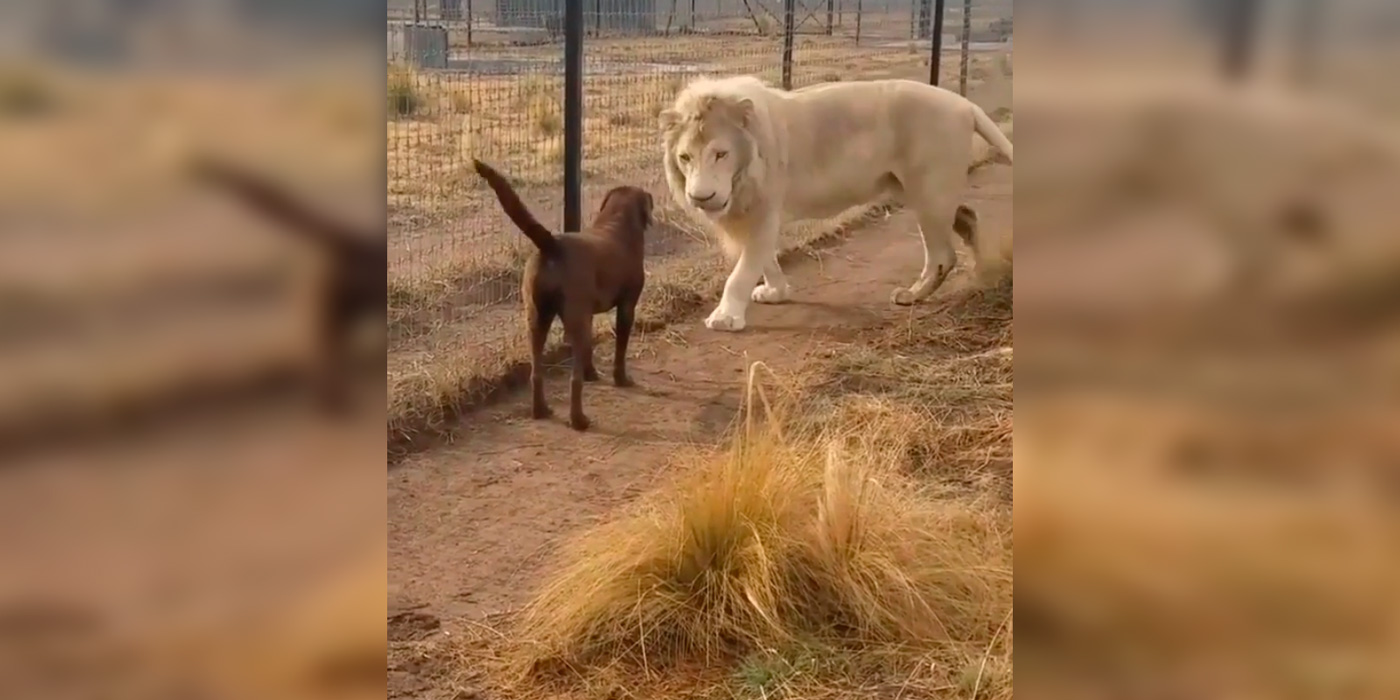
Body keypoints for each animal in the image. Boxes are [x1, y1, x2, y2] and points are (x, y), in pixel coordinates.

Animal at [467, 159, 646, 431]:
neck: (616, 222)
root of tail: (551, 244)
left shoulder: (588, 315)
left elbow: (589, 351)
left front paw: (592, 373)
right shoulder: (627, 307)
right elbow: (620, 348)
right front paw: (621, 378)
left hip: (537, 318)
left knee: (536, 372)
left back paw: (540, 410)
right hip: (570, 319)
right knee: (573, 381)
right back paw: (579, 419)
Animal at [660, 75, 1013, 331]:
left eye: (721, 154)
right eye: (685, 157)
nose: (701, 197)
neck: (742, 175)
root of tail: (965, 103)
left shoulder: (763, 210)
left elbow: (743, 270)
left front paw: (725, 317)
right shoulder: (755, 215)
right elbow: (765, 260)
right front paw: (776, 293)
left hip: (928, 191)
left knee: (942, 254)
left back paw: (911, 296)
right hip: (914, 190)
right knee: (968, 215)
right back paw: (981, 275)